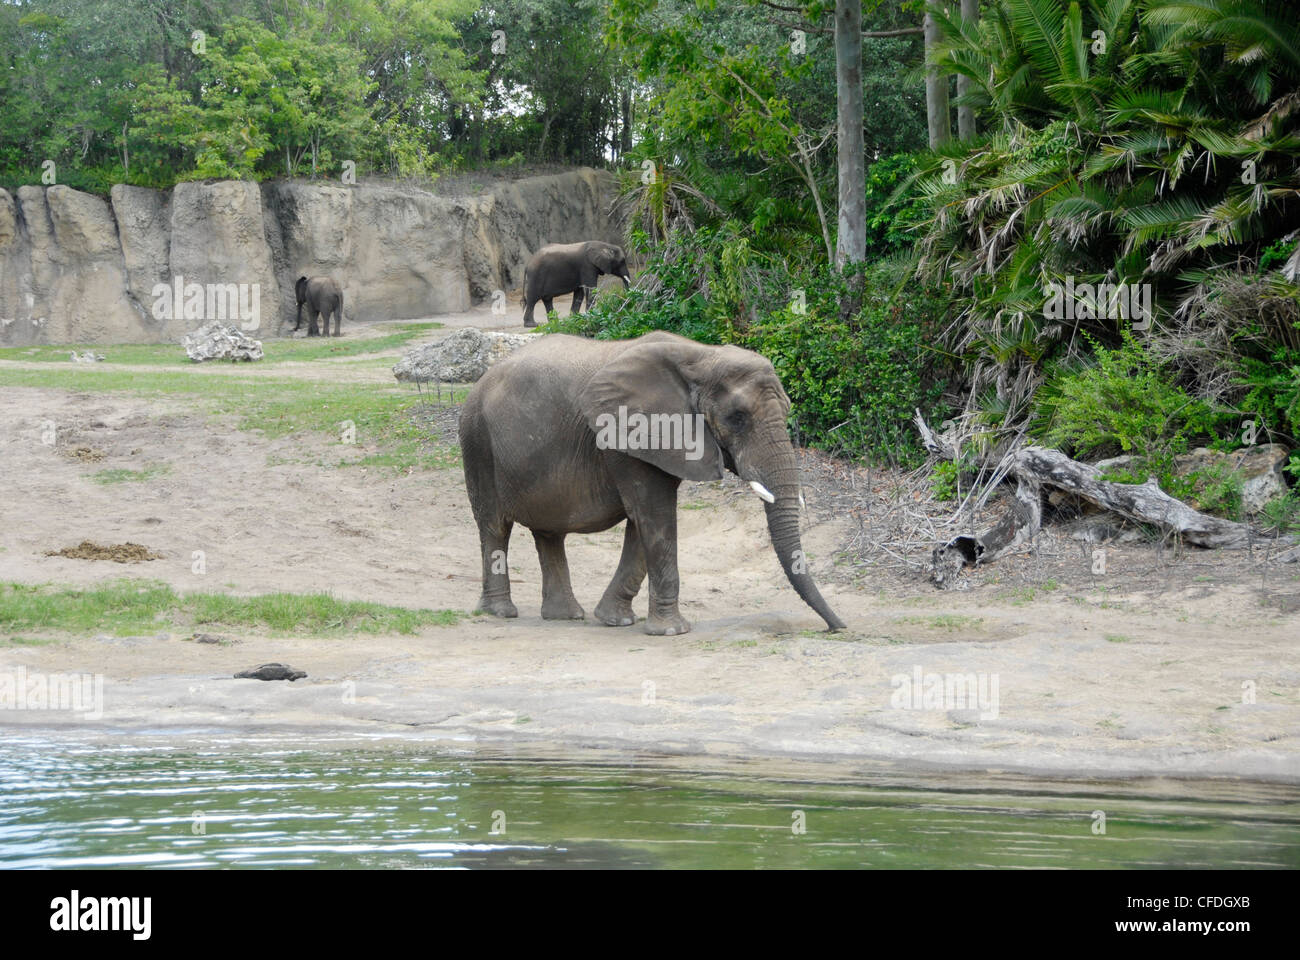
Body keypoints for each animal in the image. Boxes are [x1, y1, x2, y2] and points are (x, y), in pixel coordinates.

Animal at [462, 329, 847, 634]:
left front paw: (615, 620)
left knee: (549, 533)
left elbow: (642, 524)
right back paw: (501, 612)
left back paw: (565, 616)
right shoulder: (624, 436)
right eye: (737, 418)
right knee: (494, 526)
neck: (701, 356)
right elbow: (655, 515)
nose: (836, 628)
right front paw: (672, 632)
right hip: (477, 440)